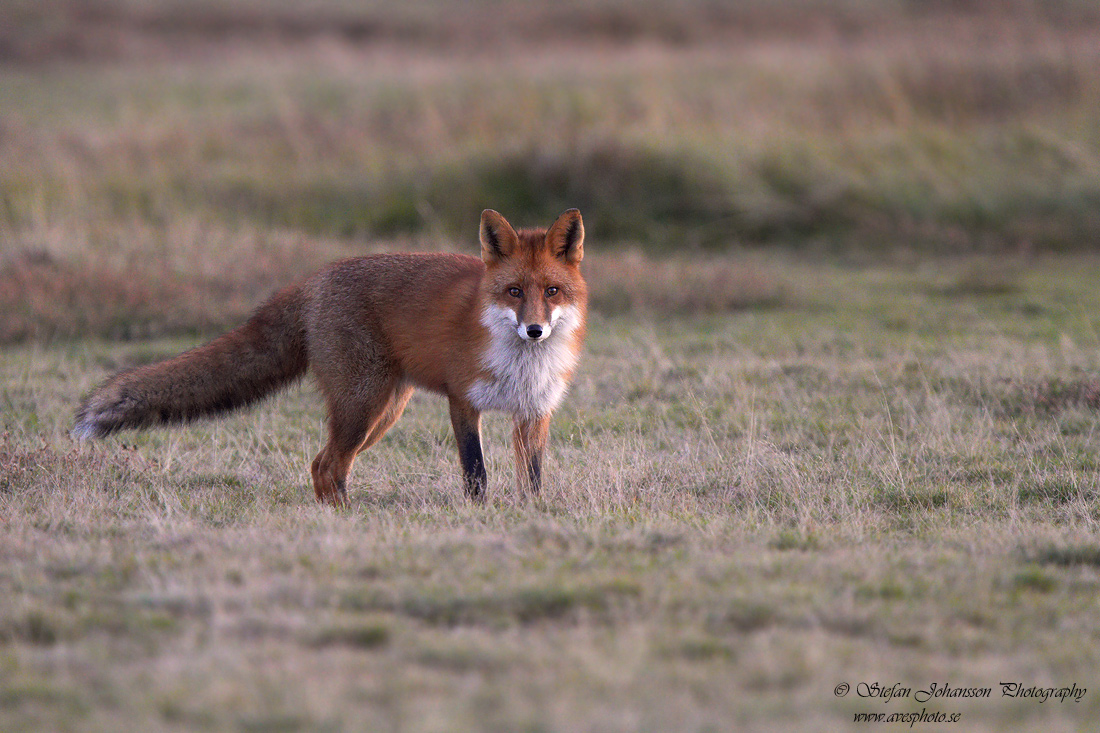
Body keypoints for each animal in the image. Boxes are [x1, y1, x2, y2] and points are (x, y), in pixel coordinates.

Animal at [73, 205, 589, 501]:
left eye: (552, 291)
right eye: (514, 291)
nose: (535, 330)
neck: (521, 364)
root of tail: (314, 279)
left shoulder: (534, 411)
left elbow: (533, 479)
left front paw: (532, 515)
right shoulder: (462, 400)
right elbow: (476, 473)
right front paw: (477, 516)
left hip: (384, 410)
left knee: (323, 465)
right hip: (364, 405)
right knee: (327, 465)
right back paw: (345, 521)